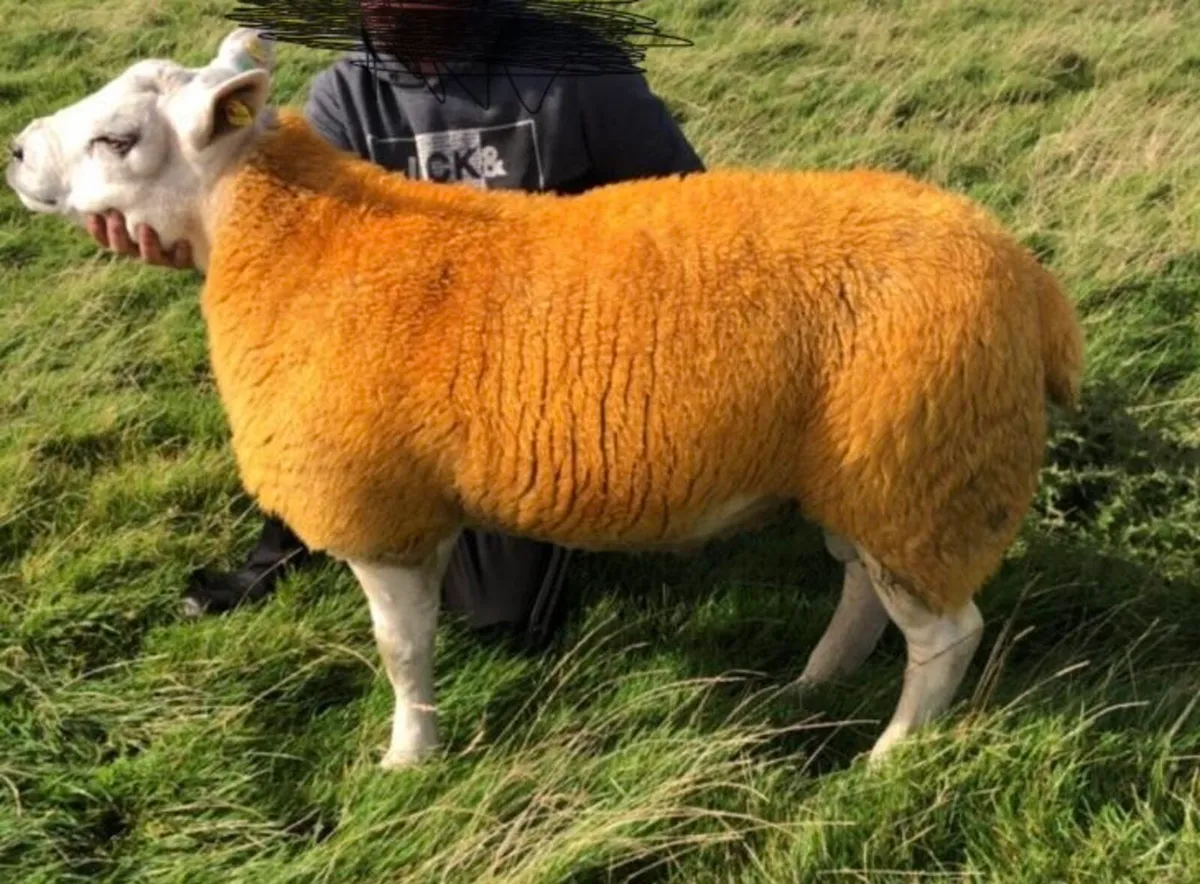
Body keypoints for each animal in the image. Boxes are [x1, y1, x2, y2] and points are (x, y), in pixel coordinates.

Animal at [6, 28, 1084, 770]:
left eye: (117, 139)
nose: (15, 153)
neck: (294, 241)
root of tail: (1031, 283)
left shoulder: (380, 511)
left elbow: (402, 651)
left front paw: (409, 759)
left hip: (927, 466)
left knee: (946, 635)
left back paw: (889, 757)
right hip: (873, 472)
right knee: (866, 588)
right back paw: (817, 678)